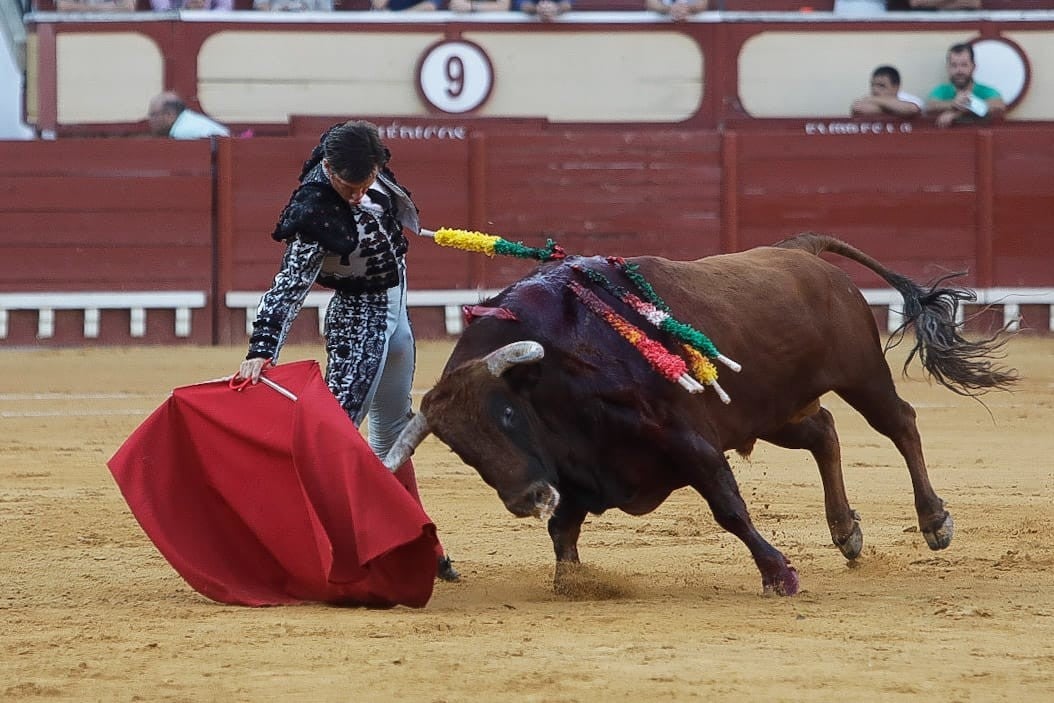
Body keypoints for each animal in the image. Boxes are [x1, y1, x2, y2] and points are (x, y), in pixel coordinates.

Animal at [381, 235, 1011, 594]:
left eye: (508, 414)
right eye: (463, 451)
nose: (525, 498)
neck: (560, 370)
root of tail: (802, 252)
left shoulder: (688, 442)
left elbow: (728, 509)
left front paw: (779, 574)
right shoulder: (581, 469)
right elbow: (563, 527)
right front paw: (573, 581)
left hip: (861, 375)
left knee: (900, 423)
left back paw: (934, 521)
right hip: (771, 412)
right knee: (824, 432)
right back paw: (846, 532)